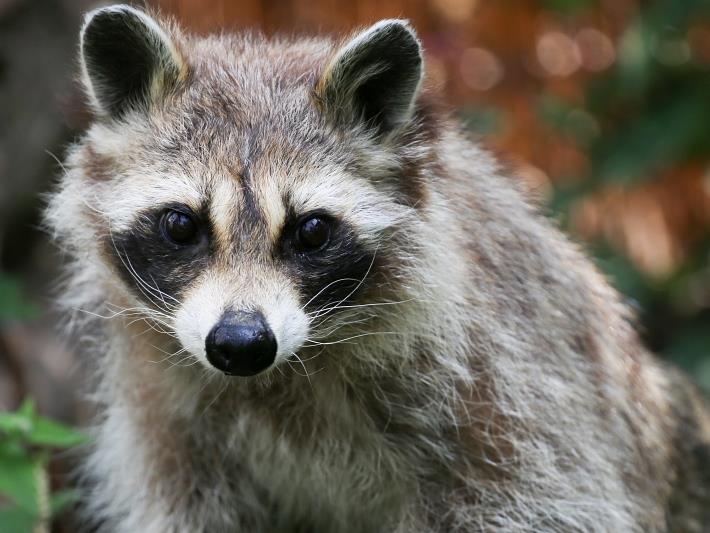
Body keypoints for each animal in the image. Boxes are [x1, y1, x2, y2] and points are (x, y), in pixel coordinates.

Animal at [47, 4, 710, 532]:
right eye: (182, 225)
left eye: (312, 231)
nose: (240, 343)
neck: (284, 374)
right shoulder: (168, 430)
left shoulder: (513, 394)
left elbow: (544, 500)